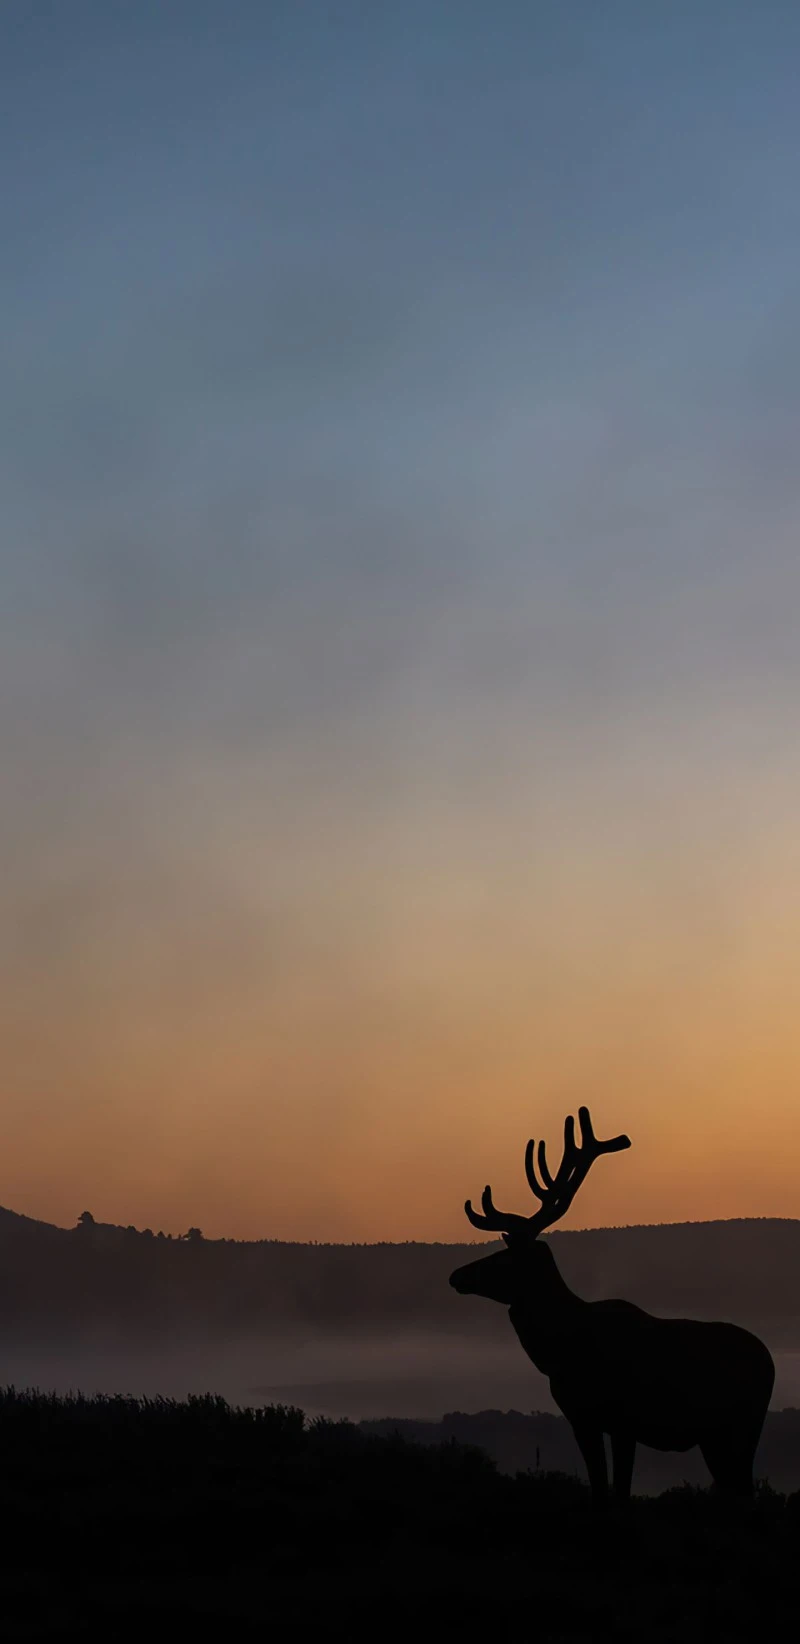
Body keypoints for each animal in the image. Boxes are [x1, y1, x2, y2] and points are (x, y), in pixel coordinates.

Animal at [449, 1108, 775, 1505]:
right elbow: (599, 1486)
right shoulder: (581, 1419)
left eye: (503, 1257)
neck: (561, 1351)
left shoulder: (625, 1420)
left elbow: (619, 1490)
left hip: (741, 1427)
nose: (456, 1275)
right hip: (719, 1438)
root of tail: (770, 1362)